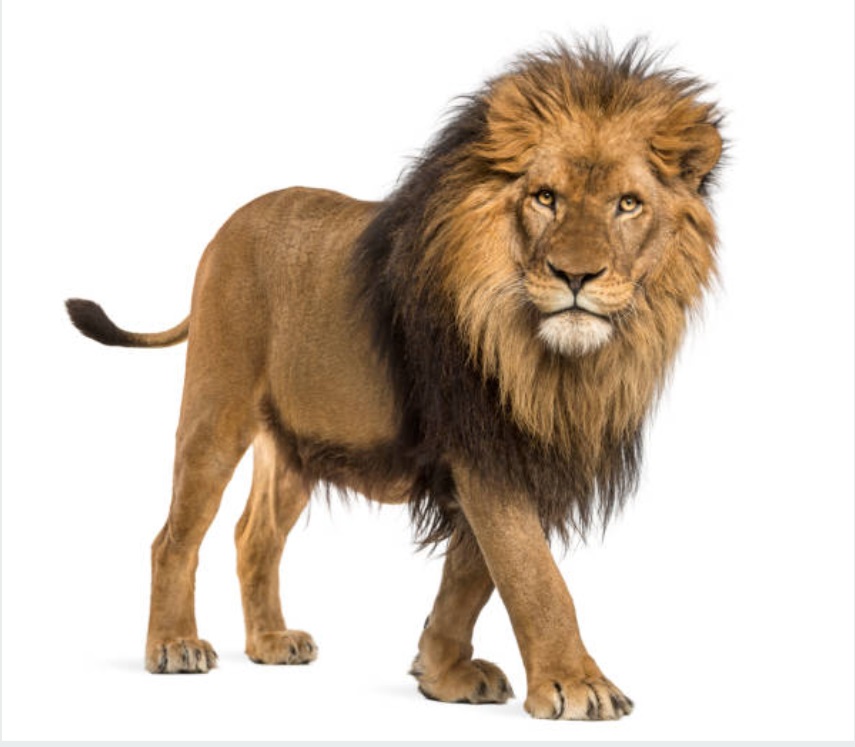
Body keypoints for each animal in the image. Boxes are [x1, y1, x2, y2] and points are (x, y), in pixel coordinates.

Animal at [66, 39, 722, 720]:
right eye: (545, 197)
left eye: (628, 204)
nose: (576, 276)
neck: (554, 361)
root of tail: (229, 226)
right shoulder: (481, 444)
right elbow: (533, 575)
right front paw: (575, 683)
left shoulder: (513, 451)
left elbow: (472, 574)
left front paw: (442, 673)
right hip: (215, 410)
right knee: (173, 536)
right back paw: (173, 645)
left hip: (298, 445)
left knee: (255, 536)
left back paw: (271, 641)